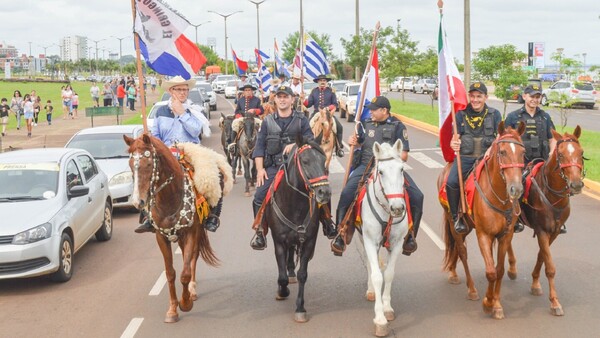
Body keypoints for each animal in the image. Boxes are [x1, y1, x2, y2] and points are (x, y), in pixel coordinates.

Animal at [124, 134, 220, 322]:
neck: (169, 199)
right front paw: (173, 309)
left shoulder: (190, 233)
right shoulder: (161, 238)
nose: (138, 201)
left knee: (192, 259)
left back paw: (192, 291)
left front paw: (185, 303)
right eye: (131, 165)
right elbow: (170, 273)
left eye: (148, 164)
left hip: (195, 233)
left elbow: (185, 273)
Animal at [356, 139, 408, 336]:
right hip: (363, 238)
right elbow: (378, 276)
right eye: (381, 172)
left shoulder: (398, 243)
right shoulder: (370, 240)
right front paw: (379, 318)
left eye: (401, 169)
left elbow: (389, 274)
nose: (398, 208)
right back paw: (371, 290)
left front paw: (387, 308)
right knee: (370, 264)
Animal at [438, 122, 528, 320]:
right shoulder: (484, 235)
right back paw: (471, 289)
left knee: (457, 249)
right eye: (502, 151)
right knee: (462, 251)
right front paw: (488, 303)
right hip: (454, 224)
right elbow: (491, 272)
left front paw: (497, 304)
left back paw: (454, 272)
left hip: (468, 227)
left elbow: (499, 270)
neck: (498, 196)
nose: (516, 189)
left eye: (523, 152)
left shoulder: (505, 236)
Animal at [516, 125, 584, 316]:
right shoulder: (542, 231)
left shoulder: (554, 232)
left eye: (581, 152)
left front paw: (535, 283)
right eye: (560, 155)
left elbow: (542, 256)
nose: (576, 184)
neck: (552, 195)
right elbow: (551, 267)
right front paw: (554, 302)